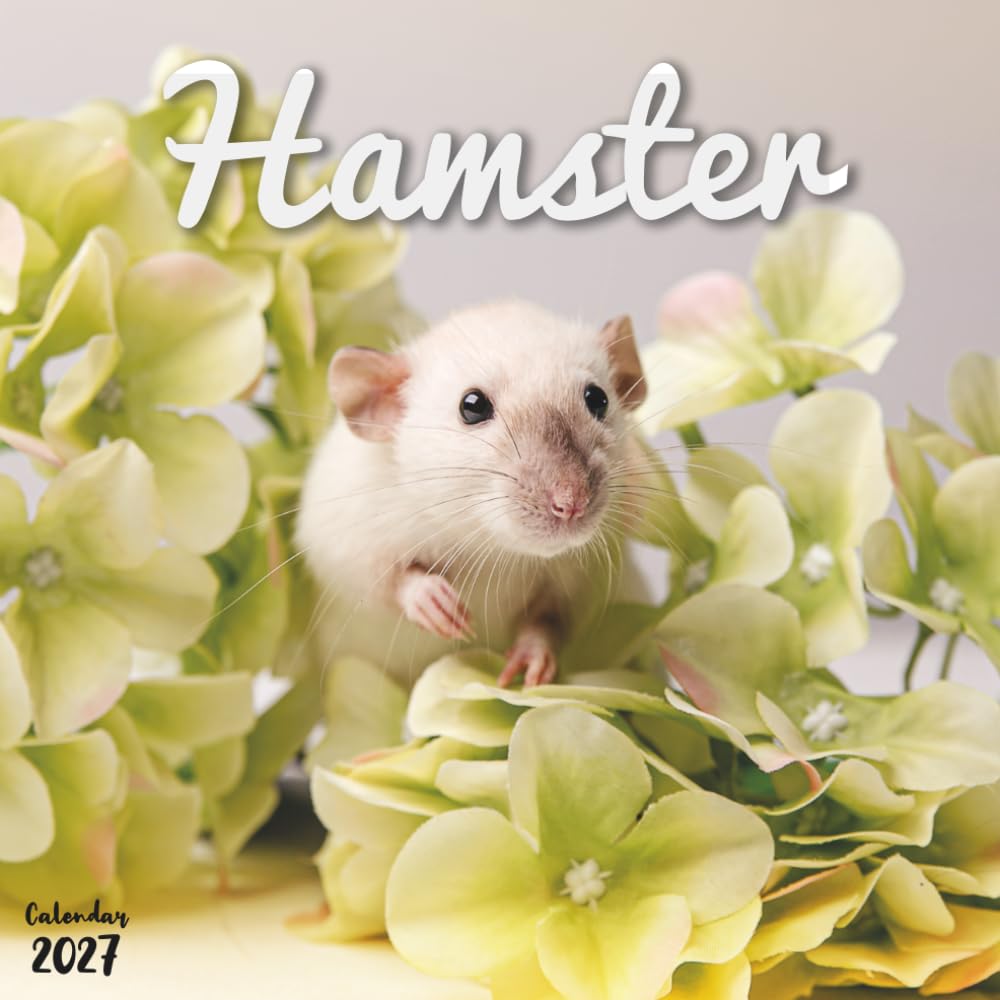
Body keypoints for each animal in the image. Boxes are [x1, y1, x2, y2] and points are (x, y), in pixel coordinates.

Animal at [295, 300, 652, 688]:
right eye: (472, 406)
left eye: (597, 398)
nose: (571, 503)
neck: (493, 549)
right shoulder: (354, 518)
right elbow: (368, 575)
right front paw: (427, 597)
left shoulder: (581, 575)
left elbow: (551, 617)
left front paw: (533, 654)